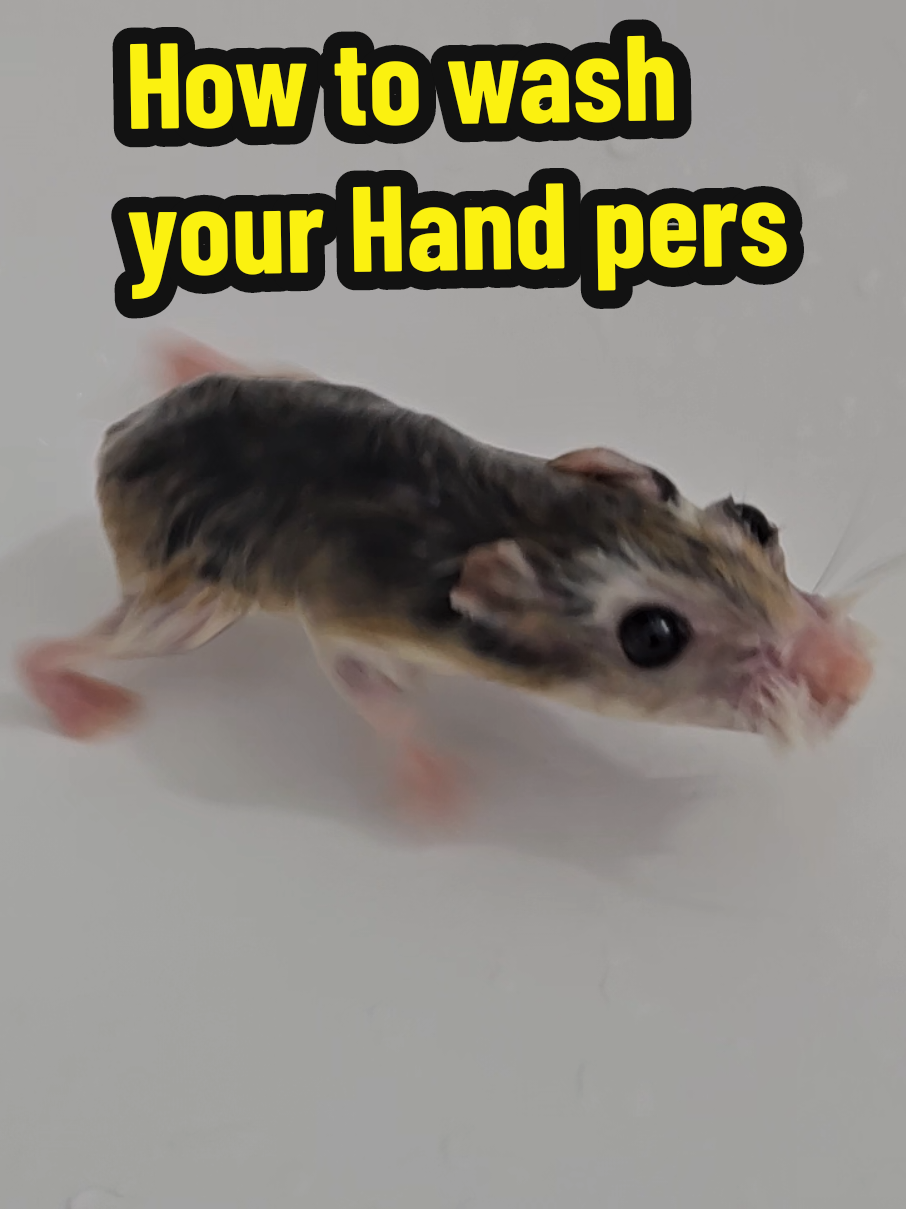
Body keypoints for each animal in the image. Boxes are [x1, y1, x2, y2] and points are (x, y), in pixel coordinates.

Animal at [17, 338, 874, 816]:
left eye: (756, 519)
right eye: (653, 635)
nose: (857, 671)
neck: (528, 515)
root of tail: (120, 435)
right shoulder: (351, 626)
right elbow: (378, 699)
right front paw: (443, 796)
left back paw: (181, 350)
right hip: (192, 600)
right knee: (63, 648)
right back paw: (85, 706)